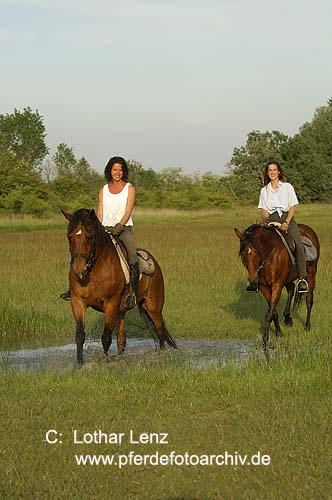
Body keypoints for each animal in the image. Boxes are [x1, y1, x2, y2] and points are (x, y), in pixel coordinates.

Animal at [61, 209, 176, 366]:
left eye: (89, 237)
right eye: (69, 236)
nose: (78, 270)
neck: (94, 270)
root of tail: (154, 262)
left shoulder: (110, 304)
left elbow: (106, 337)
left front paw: (105, 362)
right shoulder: (77, 302)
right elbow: (80, 335)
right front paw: (80, 364)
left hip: (153, 307)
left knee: (159, 331)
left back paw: (162, 355)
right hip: (122, 311)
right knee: (122, 337)